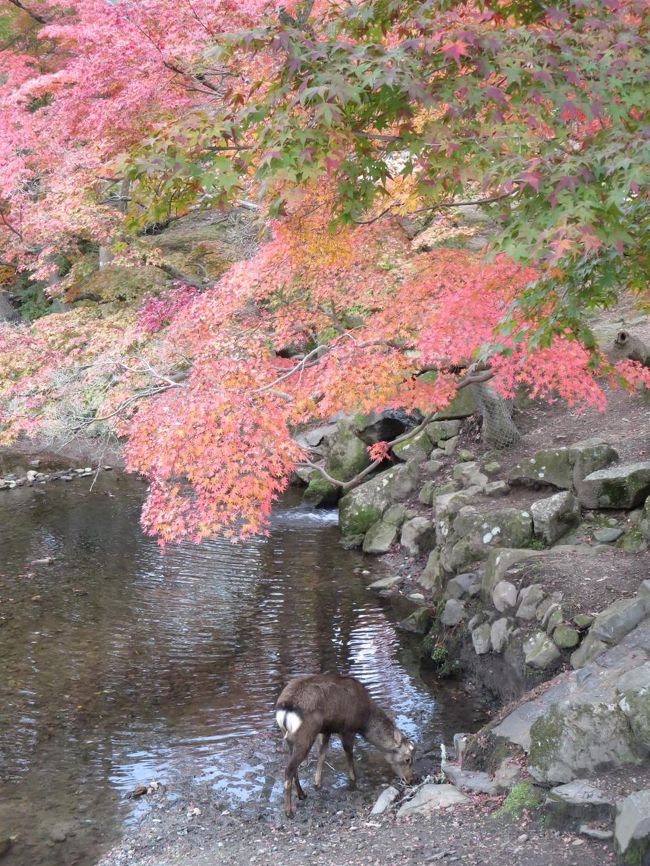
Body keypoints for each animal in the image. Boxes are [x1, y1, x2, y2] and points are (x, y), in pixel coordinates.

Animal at [275, 673, 415, 817]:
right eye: (408, 759)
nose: (410, 779)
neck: (364, 720)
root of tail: (285, 707)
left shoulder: (326, 730)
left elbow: (322, 755)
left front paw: (317, 783)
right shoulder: (348, 729)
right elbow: (349, 755)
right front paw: (353, 780)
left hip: (288, 736)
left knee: (293, 767)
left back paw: (302, 794)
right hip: (305, 735)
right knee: (289, 769)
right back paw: (288, 811)